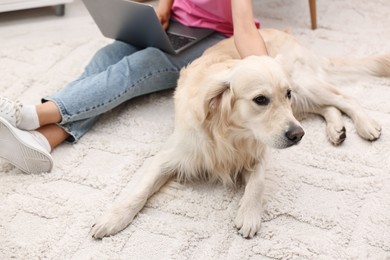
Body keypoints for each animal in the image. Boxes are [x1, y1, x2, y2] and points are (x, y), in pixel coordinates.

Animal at [90, 29, 386, 240]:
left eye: (285, 94)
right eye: (260, 99)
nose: (297, 135)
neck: (229, 134)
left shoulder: (261, 150)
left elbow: (257, 183)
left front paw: (249, 215)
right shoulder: (171, 154)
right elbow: (140, 190)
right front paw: (113, 218)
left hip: (303, 86)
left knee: (344, 98)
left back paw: (366, 124)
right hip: (303, 97)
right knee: (329, 106)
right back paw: (337, 129)